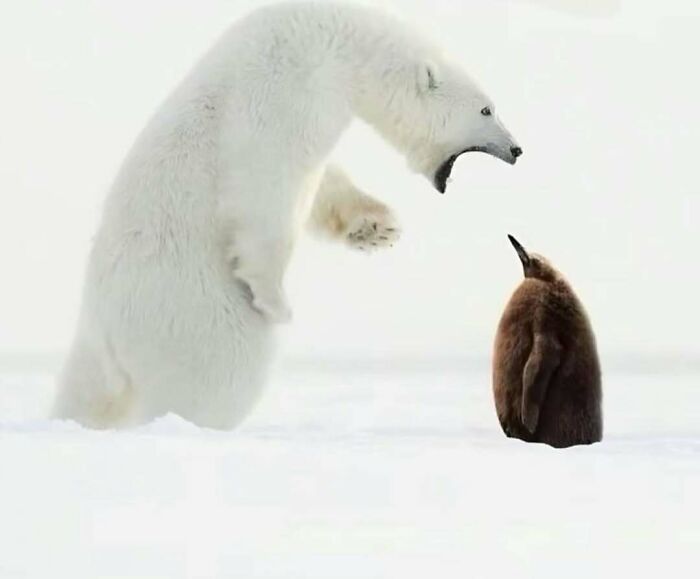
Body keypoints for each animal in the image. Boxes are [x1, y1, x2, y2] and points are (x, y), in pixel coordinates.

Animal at [52, 2, 522, 429]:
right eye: (487, 109)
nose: (517, 149)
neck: (334, 41)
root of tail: (99, 332)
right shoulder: (283, 89)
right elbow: (268, 188)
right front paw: (276, 300)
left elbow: (321, 181)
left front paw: (377, 227)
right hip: (187, 316)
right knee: (220, 375)